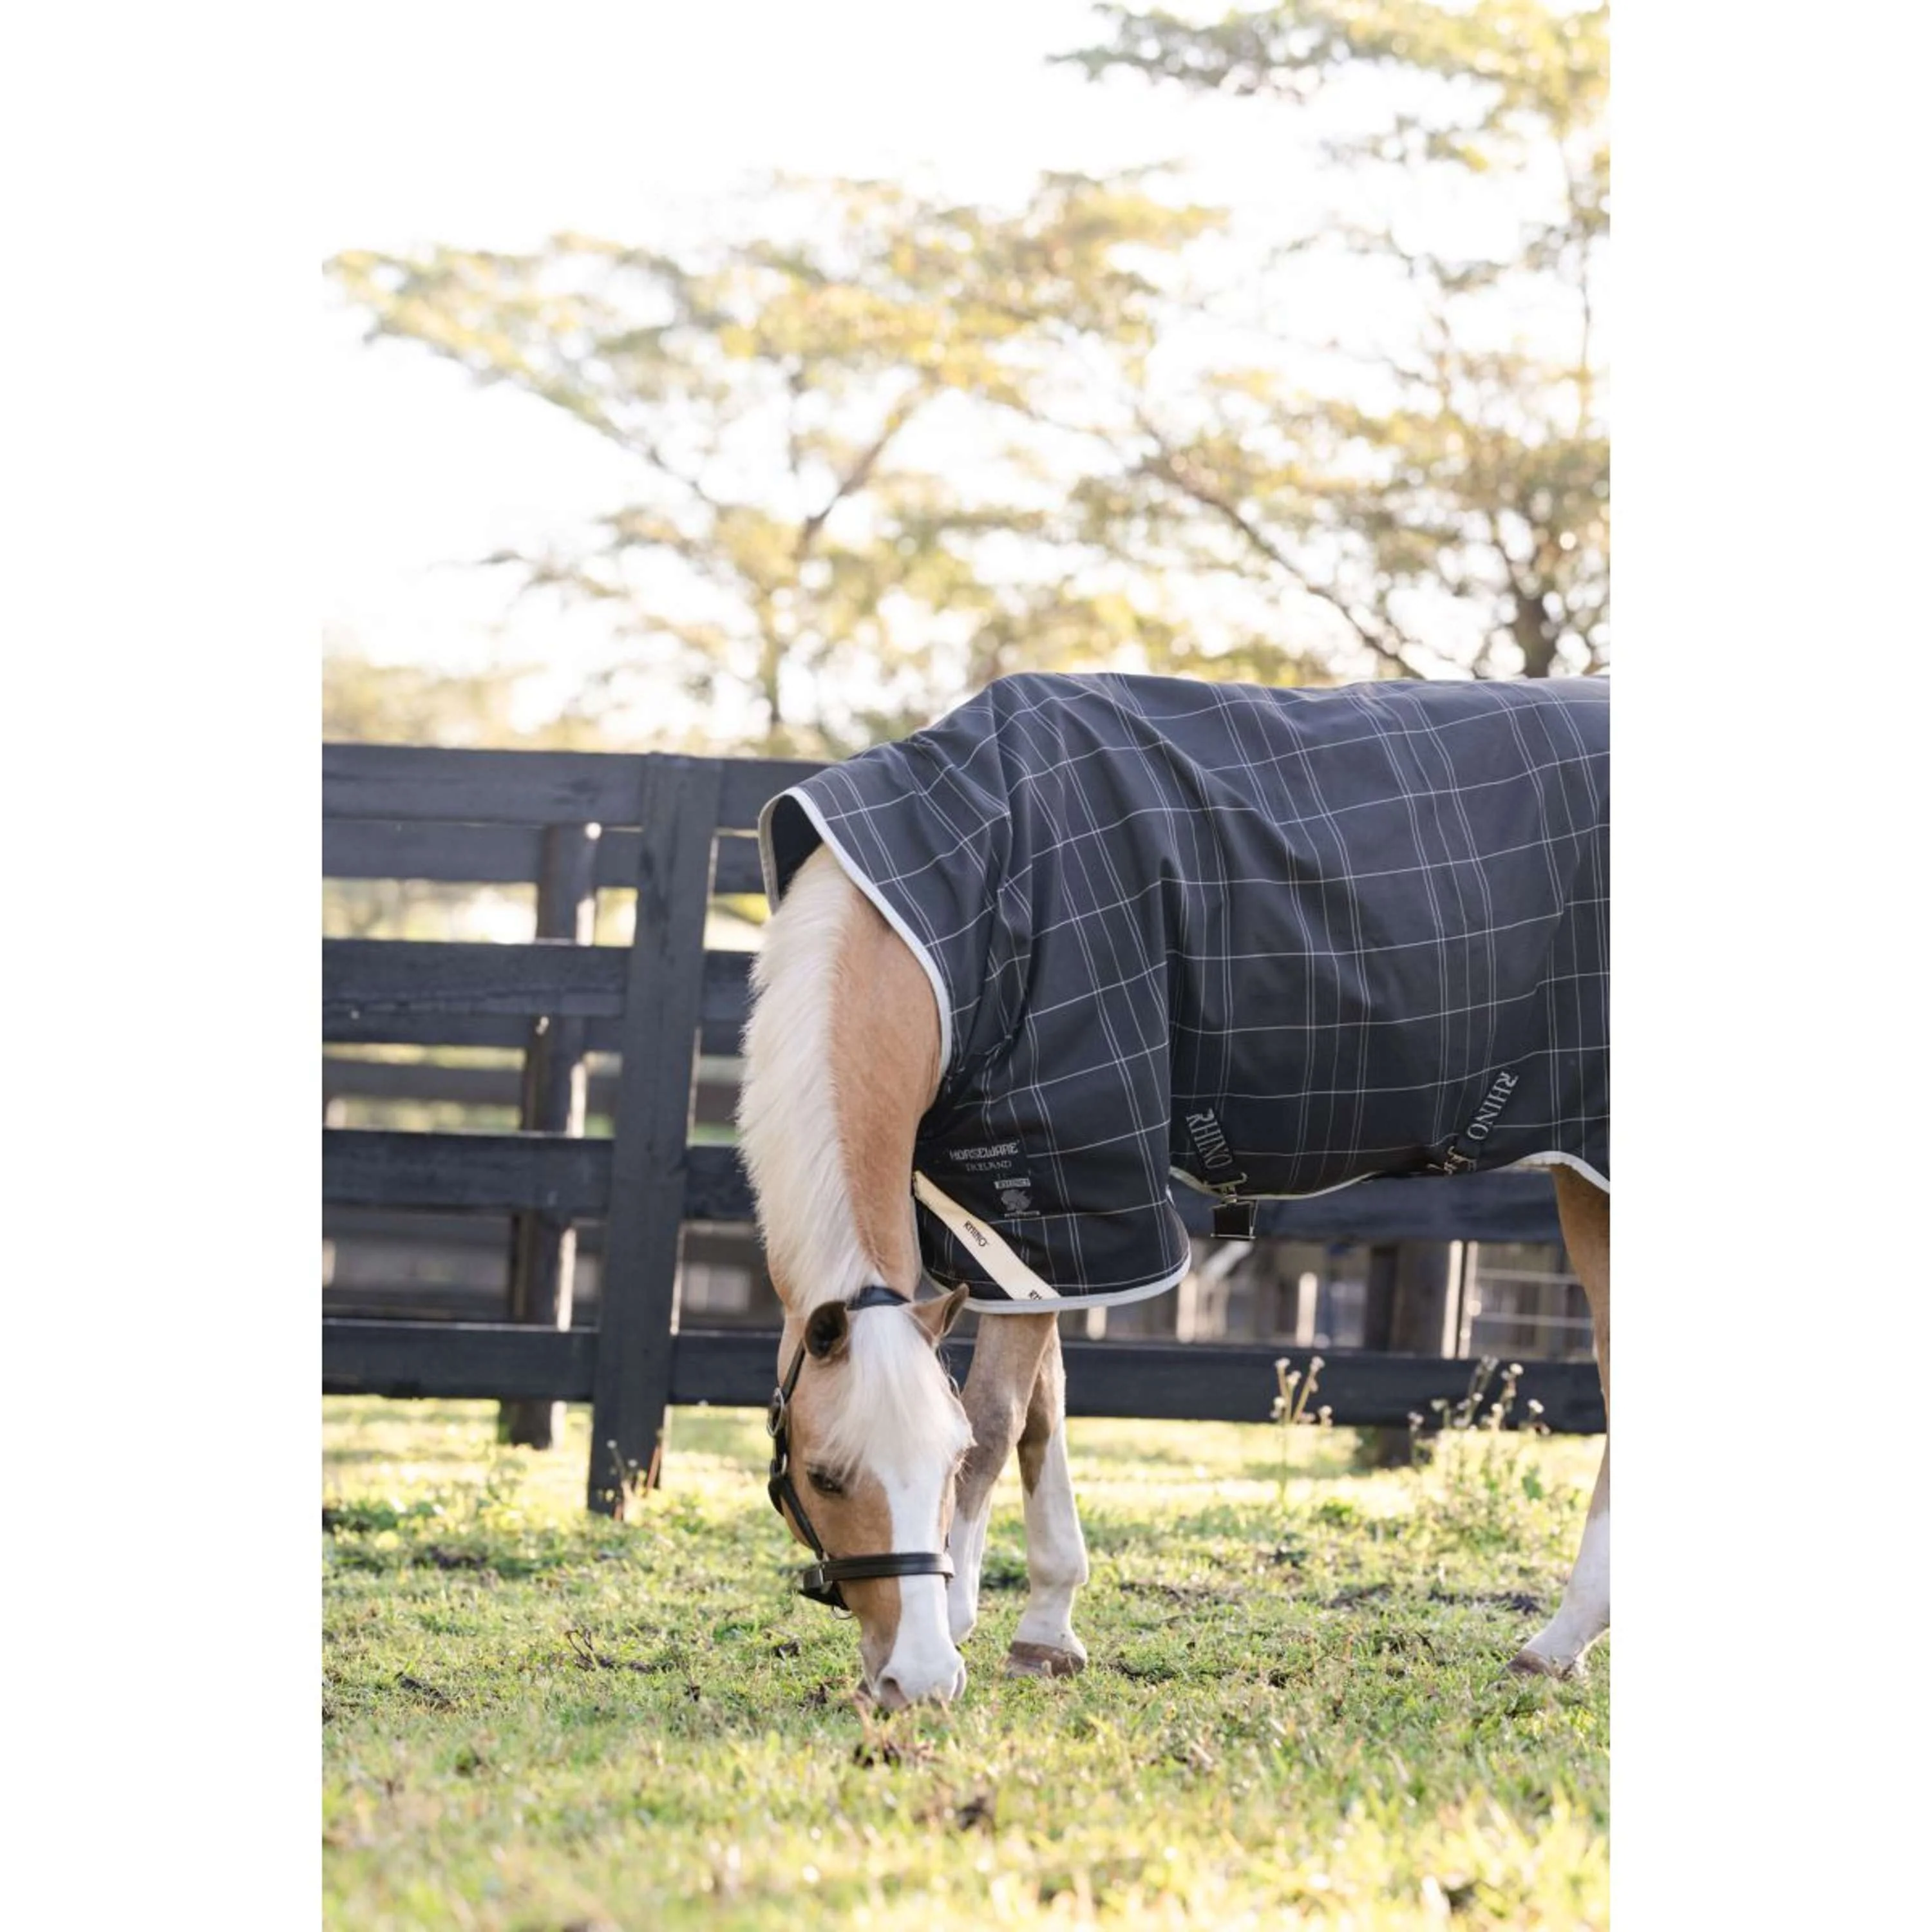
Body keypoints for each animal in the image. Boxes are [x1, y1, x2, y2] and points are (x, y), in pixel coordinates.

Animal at [736, 672, 1609, 1709]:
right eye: (826, 1478)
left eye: (940, 1468)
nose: (916, 1681)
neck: (960, 903)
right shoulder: (1024, 1221)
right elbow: (1043, 1413)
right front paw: (1047, 1630)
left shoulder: (1068, 1176)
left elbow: (997, 1419)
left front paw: (962, 1619)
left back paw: (1559, 1640)